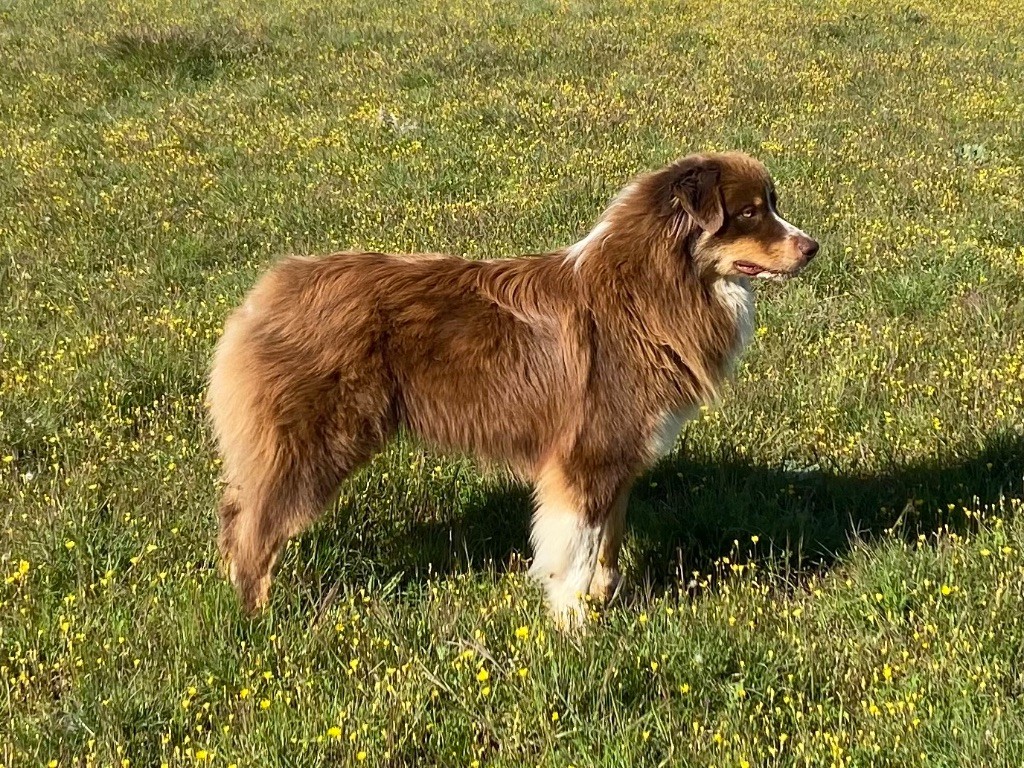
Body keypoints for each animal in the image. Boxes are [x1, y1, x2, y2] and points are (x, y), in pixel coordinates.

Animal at [205, 151, 815, 626]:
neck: (653, 288)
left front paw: (603, 600)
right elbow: (575, 548)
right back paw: (259, 620)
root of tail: (271, 289)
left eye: (771, 204)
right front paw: (574, 626)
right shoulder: (586, 453)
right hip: (312, 442)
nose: (813, 246)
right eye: (749, 212)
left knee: (235, 511)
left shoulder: (620, 454)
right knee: (253, 528)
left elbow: (609, 540)